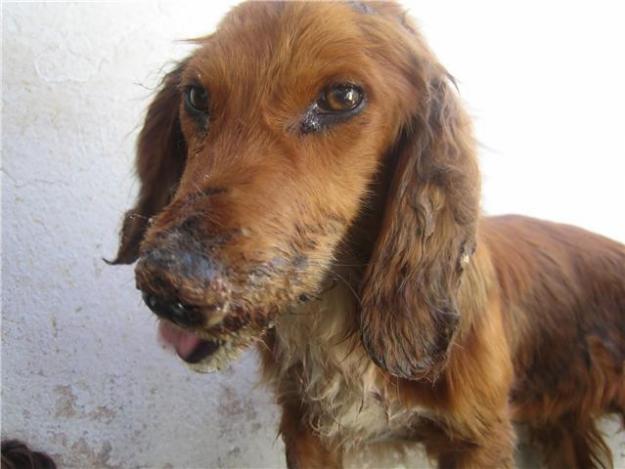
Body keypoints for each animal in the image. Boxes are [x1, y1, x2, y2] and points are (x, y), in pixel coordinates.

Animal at [112, 1, 624, 466]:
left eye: (342, 98)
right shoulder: (307, 430)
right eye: (196, 96)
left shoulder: (480, 437)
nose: (168, 285)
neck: (342, 314)